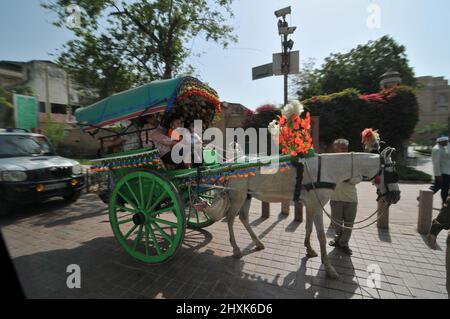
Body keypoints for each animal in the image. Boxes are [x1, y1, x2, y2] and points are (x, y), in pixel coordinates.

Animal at [205, 148, 400, 280]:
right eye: (391, 172)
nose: (397, 196)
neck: (327, 169)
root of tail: (232, 162)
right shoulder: (317, 204)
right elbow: (321, 235)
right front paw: (329, 268)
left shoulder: (310, 204)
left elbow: (308, 228)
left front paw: (309, 249)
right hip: (237, 195)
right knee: (231, 218)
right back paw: (236, 249)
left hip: (247, 194)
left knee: (243, 218)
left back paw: (258, 242)